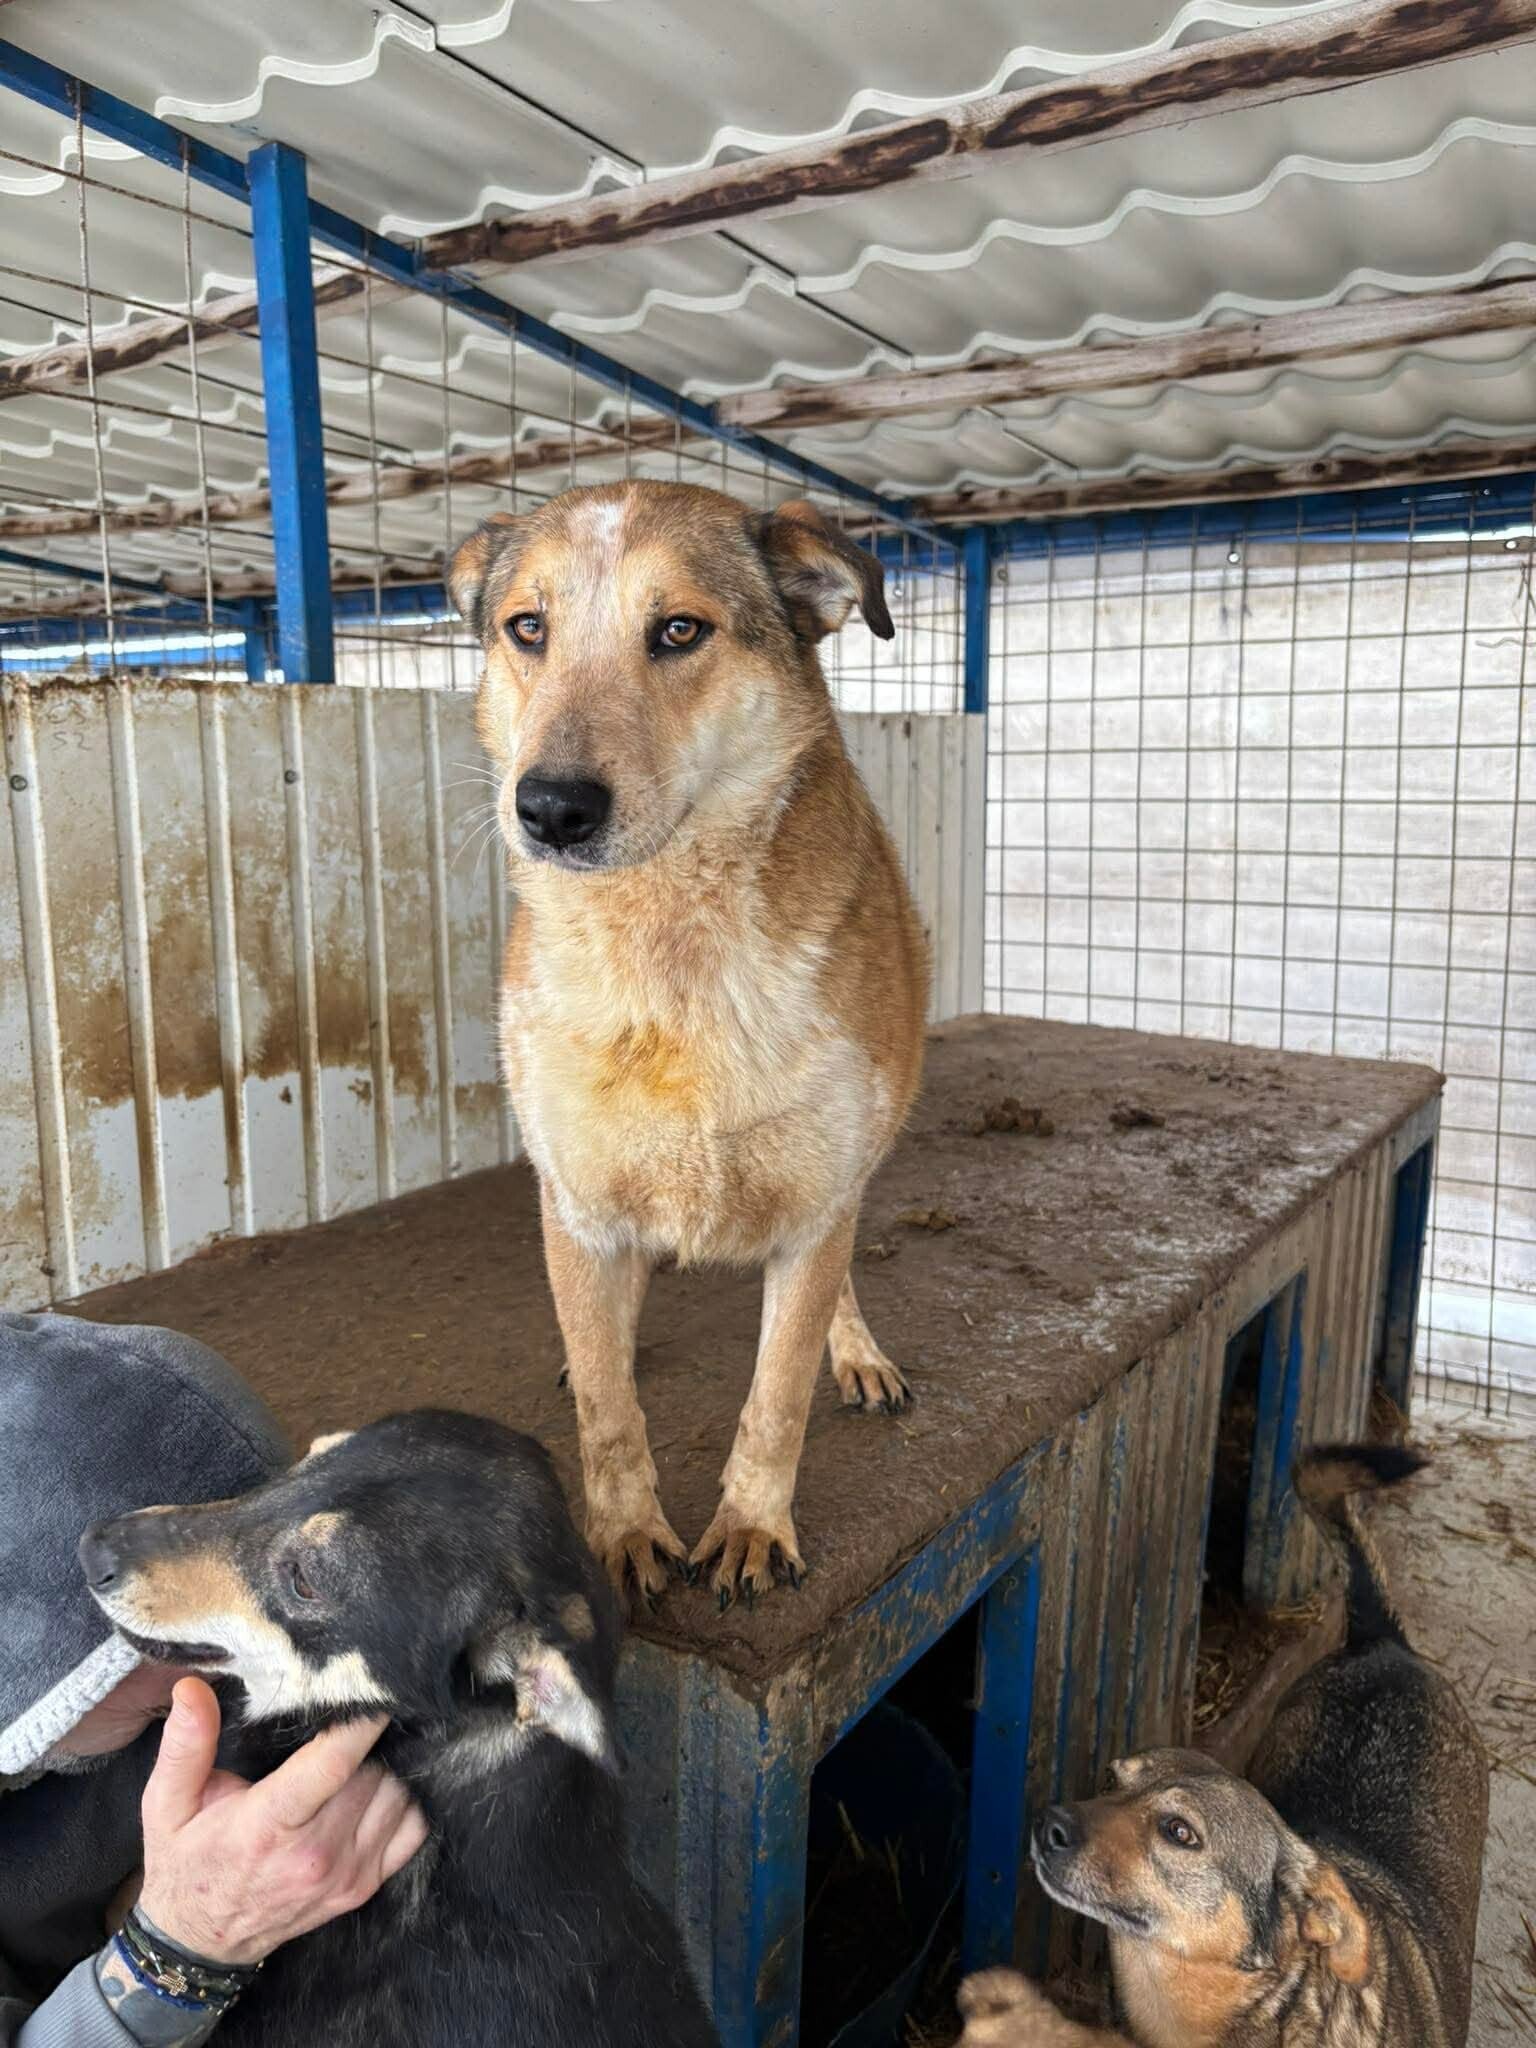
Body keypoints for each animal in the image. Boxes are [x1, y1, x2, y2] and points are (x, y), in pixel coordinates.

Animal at [448, 482, 929, 1605]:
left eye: (678, 631)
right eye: (526, 629)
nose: (550, 808)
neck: (669, 958)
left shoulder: (814, 1207)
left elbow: (776, 1397)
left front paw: (753, 1527)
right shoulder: (576, 1201)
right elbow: (609, 1413)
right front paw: (623, 1534)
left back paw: (856, 1349)